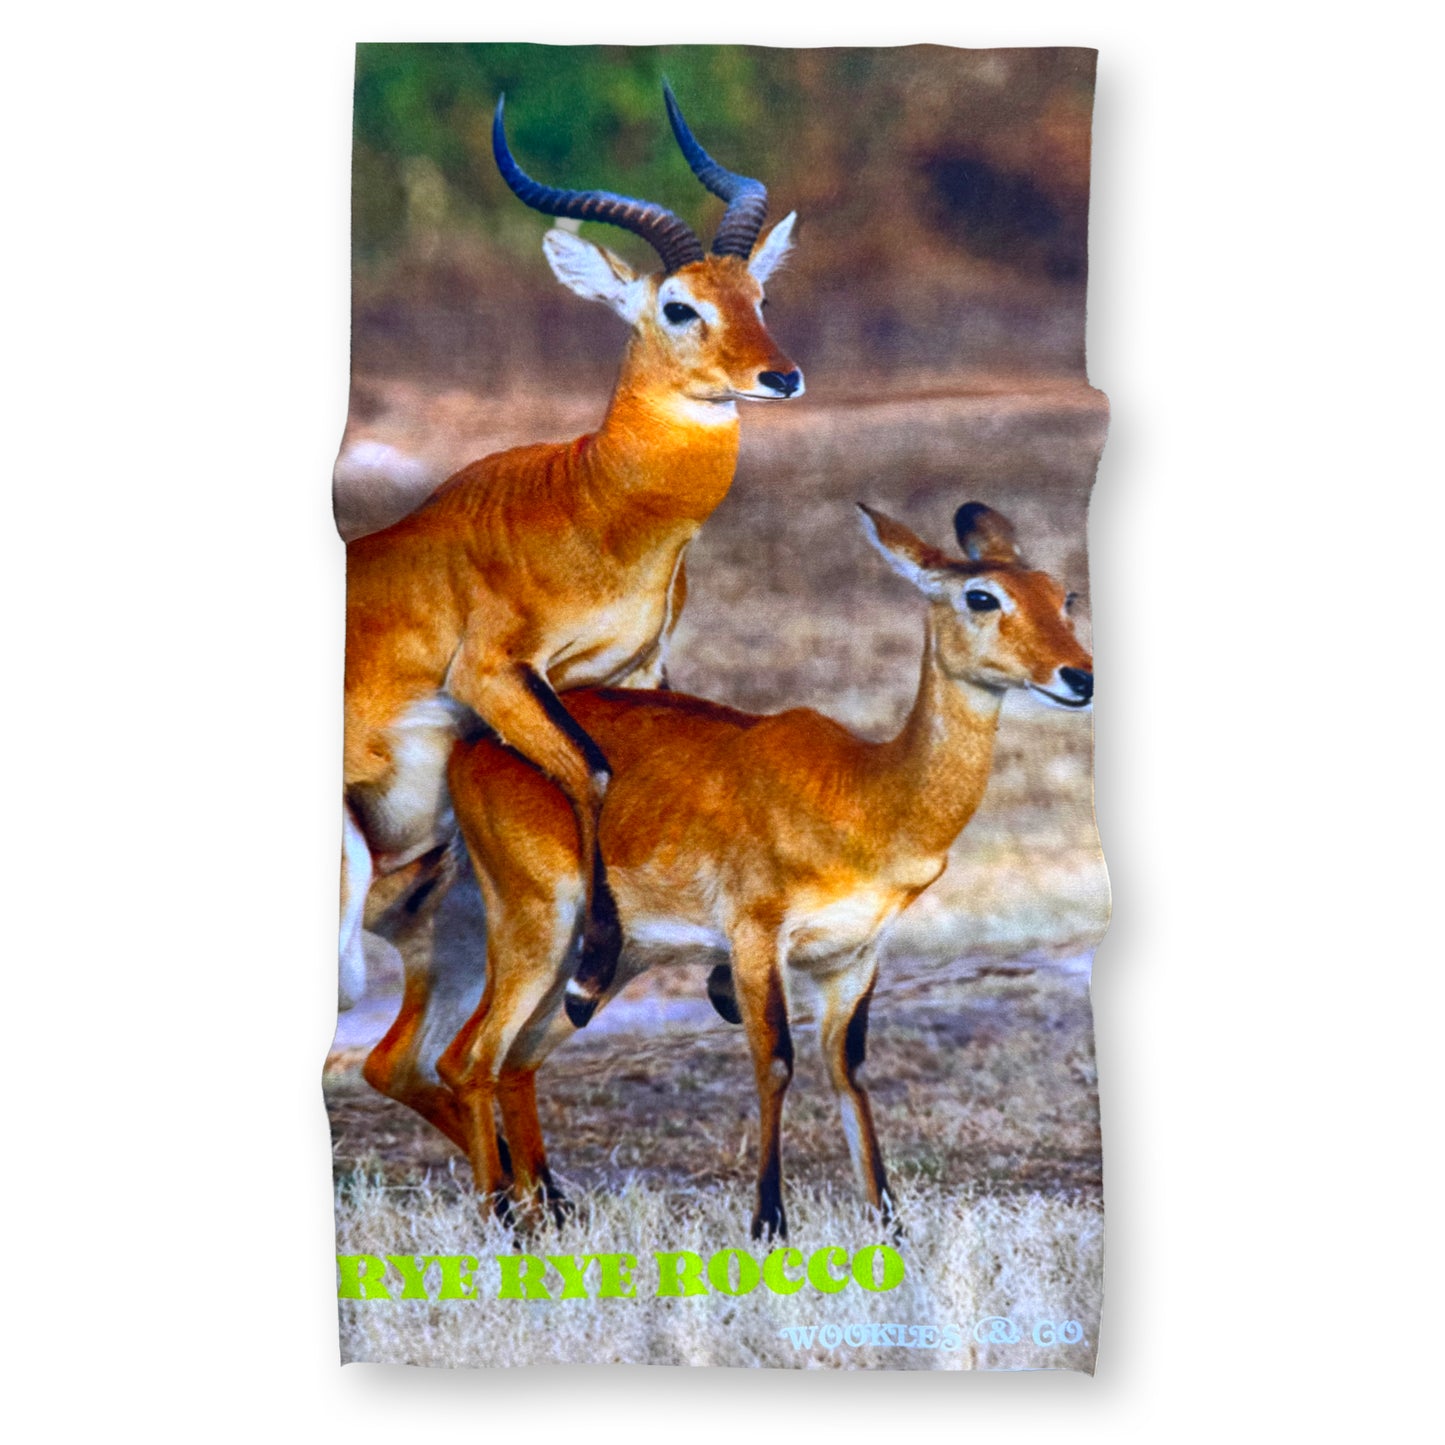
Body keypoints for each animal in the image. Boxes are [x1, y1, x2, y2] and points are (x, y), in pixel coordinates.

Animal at [341, 83, 805, 1052]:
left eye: (758, 292)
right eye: (679, 306)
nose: (779, 377)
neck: (594, 504)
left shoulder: (636, 668)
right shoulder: (492, 675)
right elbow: (593, 772)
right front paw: (591, 976)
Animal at [422, 502, 1094, 1237]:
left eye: (1062, 594)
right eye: (981, 596)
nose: (1079, 676)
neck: (871, 794)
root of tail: (472, 747)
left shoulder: (853, 956)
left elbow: (848, 1070)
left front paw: (888, 1223)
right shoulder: (754, 938)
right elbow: (773, 1062)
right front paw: (769, 1223)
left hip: (601, 964)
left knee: (516, 1060)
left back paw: (543, 1223)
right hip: (536, 926)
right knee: (468, 1058)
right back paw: (500, 1223)